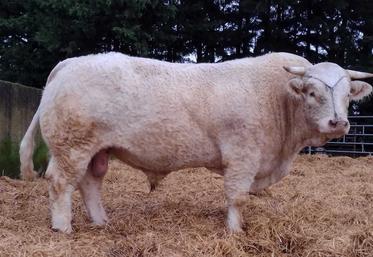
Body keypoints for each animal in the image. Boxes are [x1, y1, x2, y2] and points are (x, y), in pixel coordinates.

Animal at [19, 52, 372, 232]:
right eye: (312, 93)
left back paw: (102, 222)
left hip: (98, 150)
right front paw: (235, 232)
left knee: (90, 183)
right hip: (71, 146)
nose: (338, 122)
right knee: (60, 183)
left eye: (346, 95)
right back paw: (63, 228)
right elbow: (237, 196)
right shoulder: (242, 154)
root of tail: (69, 63)